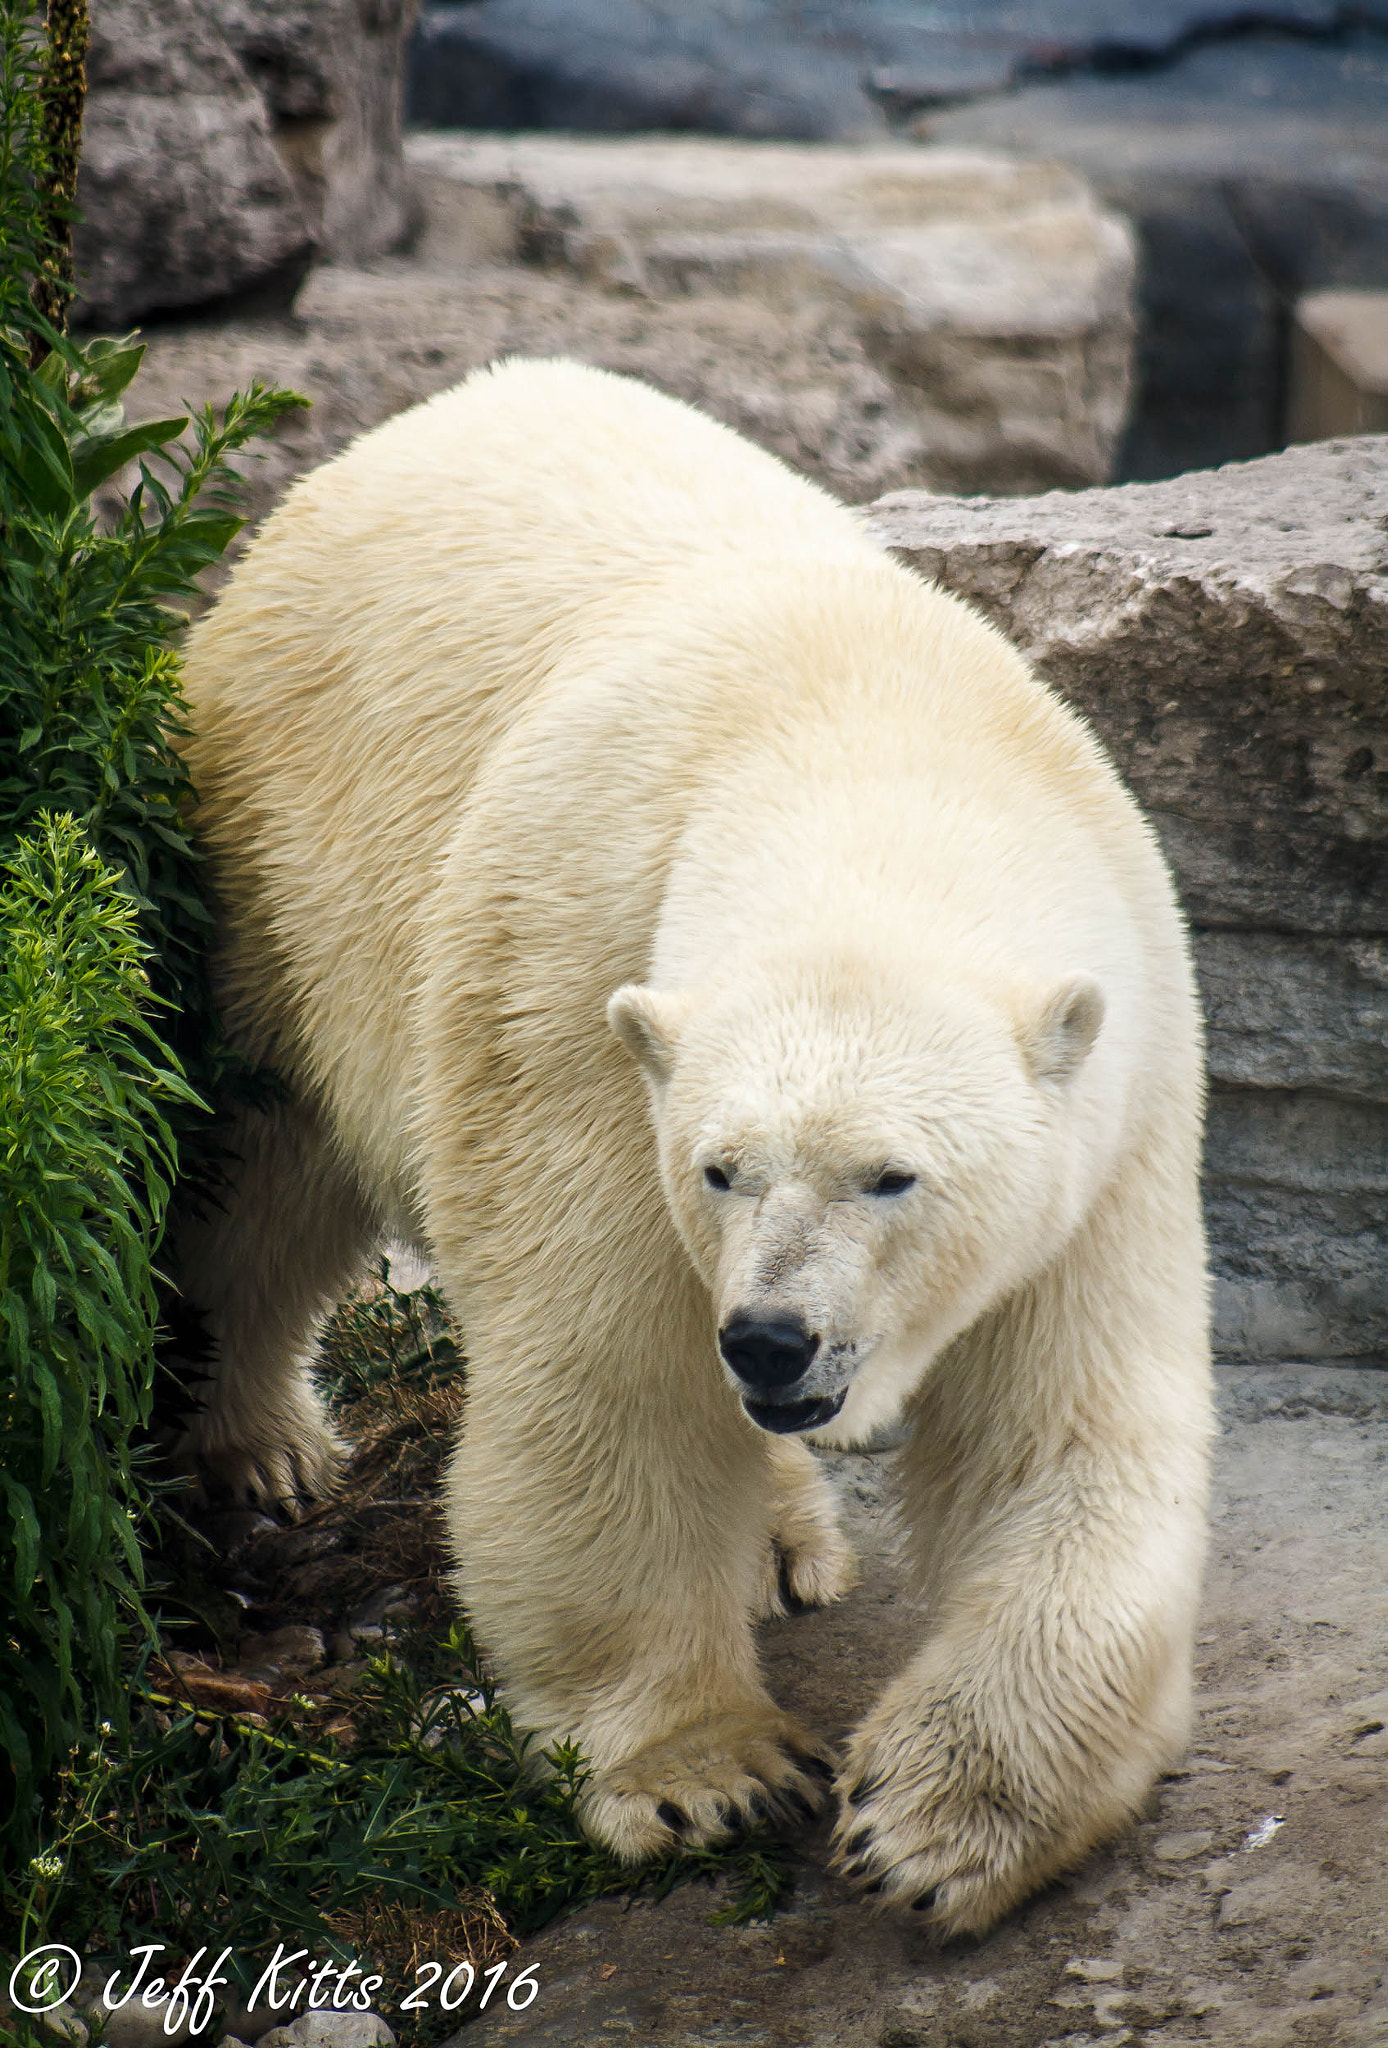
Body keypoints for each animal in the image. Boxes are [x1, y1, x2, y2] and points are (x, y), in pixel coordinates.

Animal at [172, 356, 1213, 1935]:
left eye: (892, 1176)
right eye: (721, 1167)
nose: (774, 1338)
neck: (869, 750)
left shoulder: (1117, 1102)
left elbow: (1060, 1428)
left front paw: (941, 1821)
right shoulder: (576, 1003)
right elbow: (609, 1382)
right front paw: (706, 1772)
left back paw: (786, 1537)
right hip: (280, 858)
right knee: (265, 1171)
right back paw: (261, 1441)